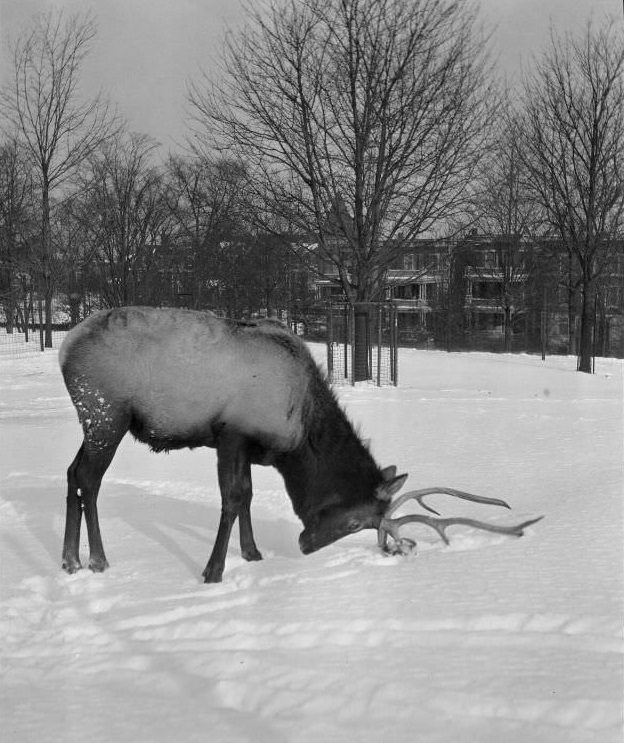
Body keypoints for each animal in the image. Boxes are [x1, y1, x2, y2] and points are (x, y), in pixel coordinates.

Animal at [59, 306, 540, 580]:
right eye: (355, 521)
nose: (307, 546)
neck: (297, 435)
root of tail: (65, 347)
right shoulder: (231, 432)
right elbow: (233, 498)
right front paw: (213, 571)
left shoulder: (246, 445)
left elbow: (248, 497)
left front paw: (252, 554)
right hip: (107, 414)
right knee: (89, 479)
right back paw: (97, 559)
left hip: (94, 421)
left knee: (71, 473)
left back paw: (69, 560)